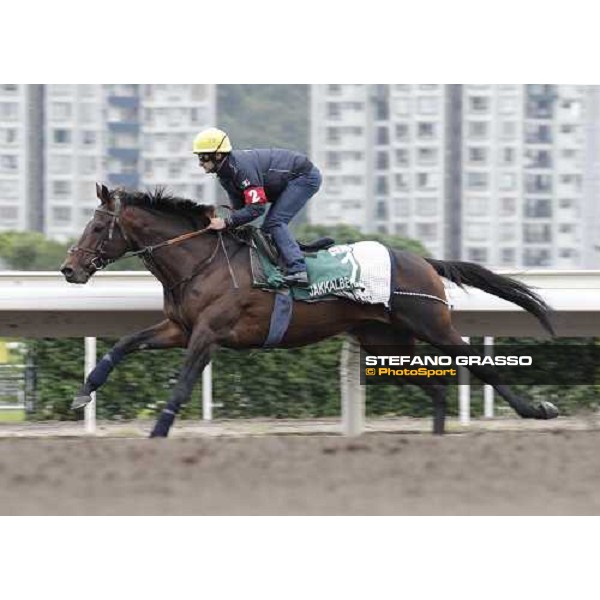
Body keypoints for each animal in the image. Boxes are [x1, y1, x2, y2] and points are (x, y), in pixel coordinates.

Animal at [59, 183, 556, 436]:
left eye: (98, 227)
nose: (69, 269)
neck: (202, 261)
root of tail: (422, 261)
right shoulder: (178, 328)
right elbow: (123, 344)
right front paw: (83, 394)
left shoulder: (208, 334)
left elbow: (181, 385)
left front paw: (158, 433)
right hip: (384, 339)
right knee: (432, 388)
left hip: (432, 325)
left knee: (479, 364)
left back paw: (537, 410)